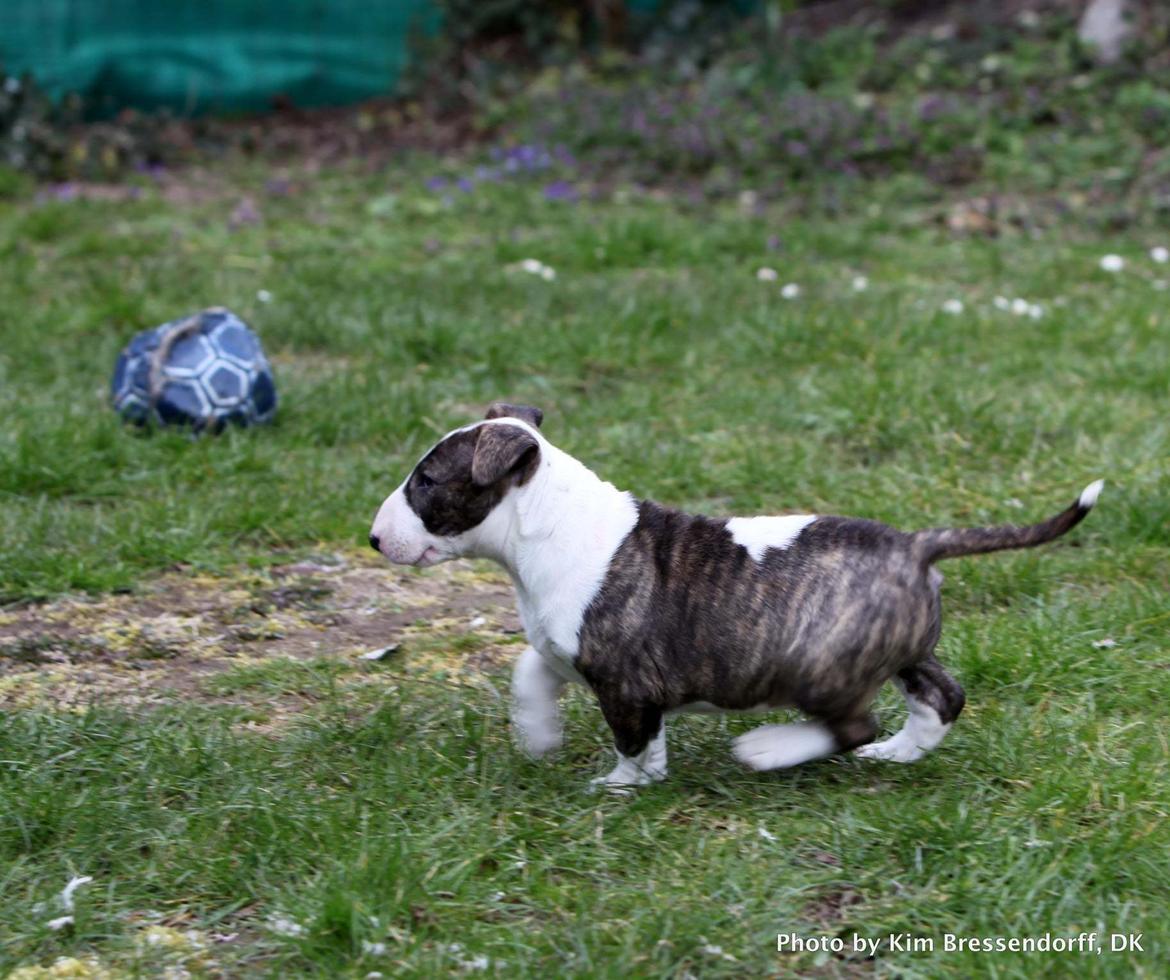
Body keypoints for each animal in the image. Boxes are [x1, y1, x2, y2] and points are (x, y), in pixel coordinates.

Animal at [369, 404, 1099, 790]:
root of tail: (915, 544)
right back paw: (895, 755)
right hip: (899, 647)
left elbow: (633, 740)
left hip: (821, 662)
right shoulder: (563, 645)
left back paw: (770, 750)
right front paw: (538, 734)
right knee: (941, 698)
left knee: (851, 724)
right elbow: (530, 669)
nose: (374, 539)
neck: (543, 524)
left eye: (426, 481)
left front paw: (621, 787)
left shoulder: (623, 679)